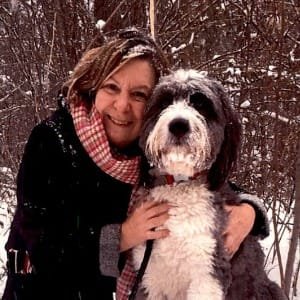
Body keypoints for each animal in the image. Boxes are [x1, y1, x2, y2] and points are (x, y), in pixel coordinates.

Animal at [131, 69, 286, 300]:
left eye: (201, 104)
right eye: (164, 102)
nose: (178, 125)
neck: (180, 184)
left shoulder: (208, 271)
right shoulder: (150, 277)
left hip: (267, 289)